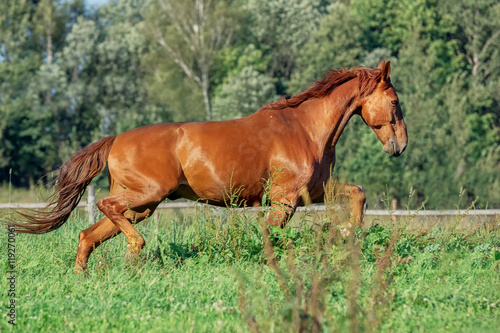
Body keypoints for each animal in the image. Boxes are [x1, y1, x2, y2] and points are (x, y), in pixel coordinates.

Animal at [12, 61, 406, 272]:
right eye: (395, 101)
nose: (399, 146)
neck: (304, 128)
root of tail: (115, 139)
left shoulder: (313, 191)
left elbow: (357, 194)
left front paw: (348, 233)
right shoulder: (285, 198)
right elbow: (271, 235)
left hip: (142, 205)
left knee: (87, 235)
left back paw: (90, 276)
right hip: (146, 195)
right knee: (106, 210)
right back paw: (136, 248)